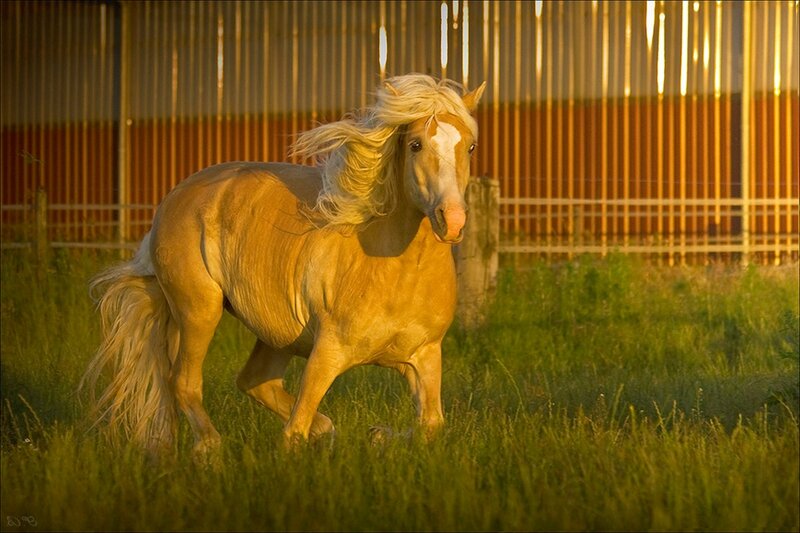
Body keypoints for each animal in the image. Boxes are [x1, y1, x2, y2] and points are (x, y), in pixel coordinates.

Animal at [81, 73, 486, 457]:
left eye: (470, 146)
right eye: (416, 144)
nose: (452, 221)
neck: (391, 268)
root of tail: (176, 196)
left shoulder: (424, 357)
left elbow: (430, 425)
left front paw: (377, 435)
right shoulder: (327, 354)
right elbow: (293, 432)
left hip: (276, 335)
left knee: (253, 381)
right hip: (199, 311)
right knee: (184, 383)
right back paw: (210, 449)